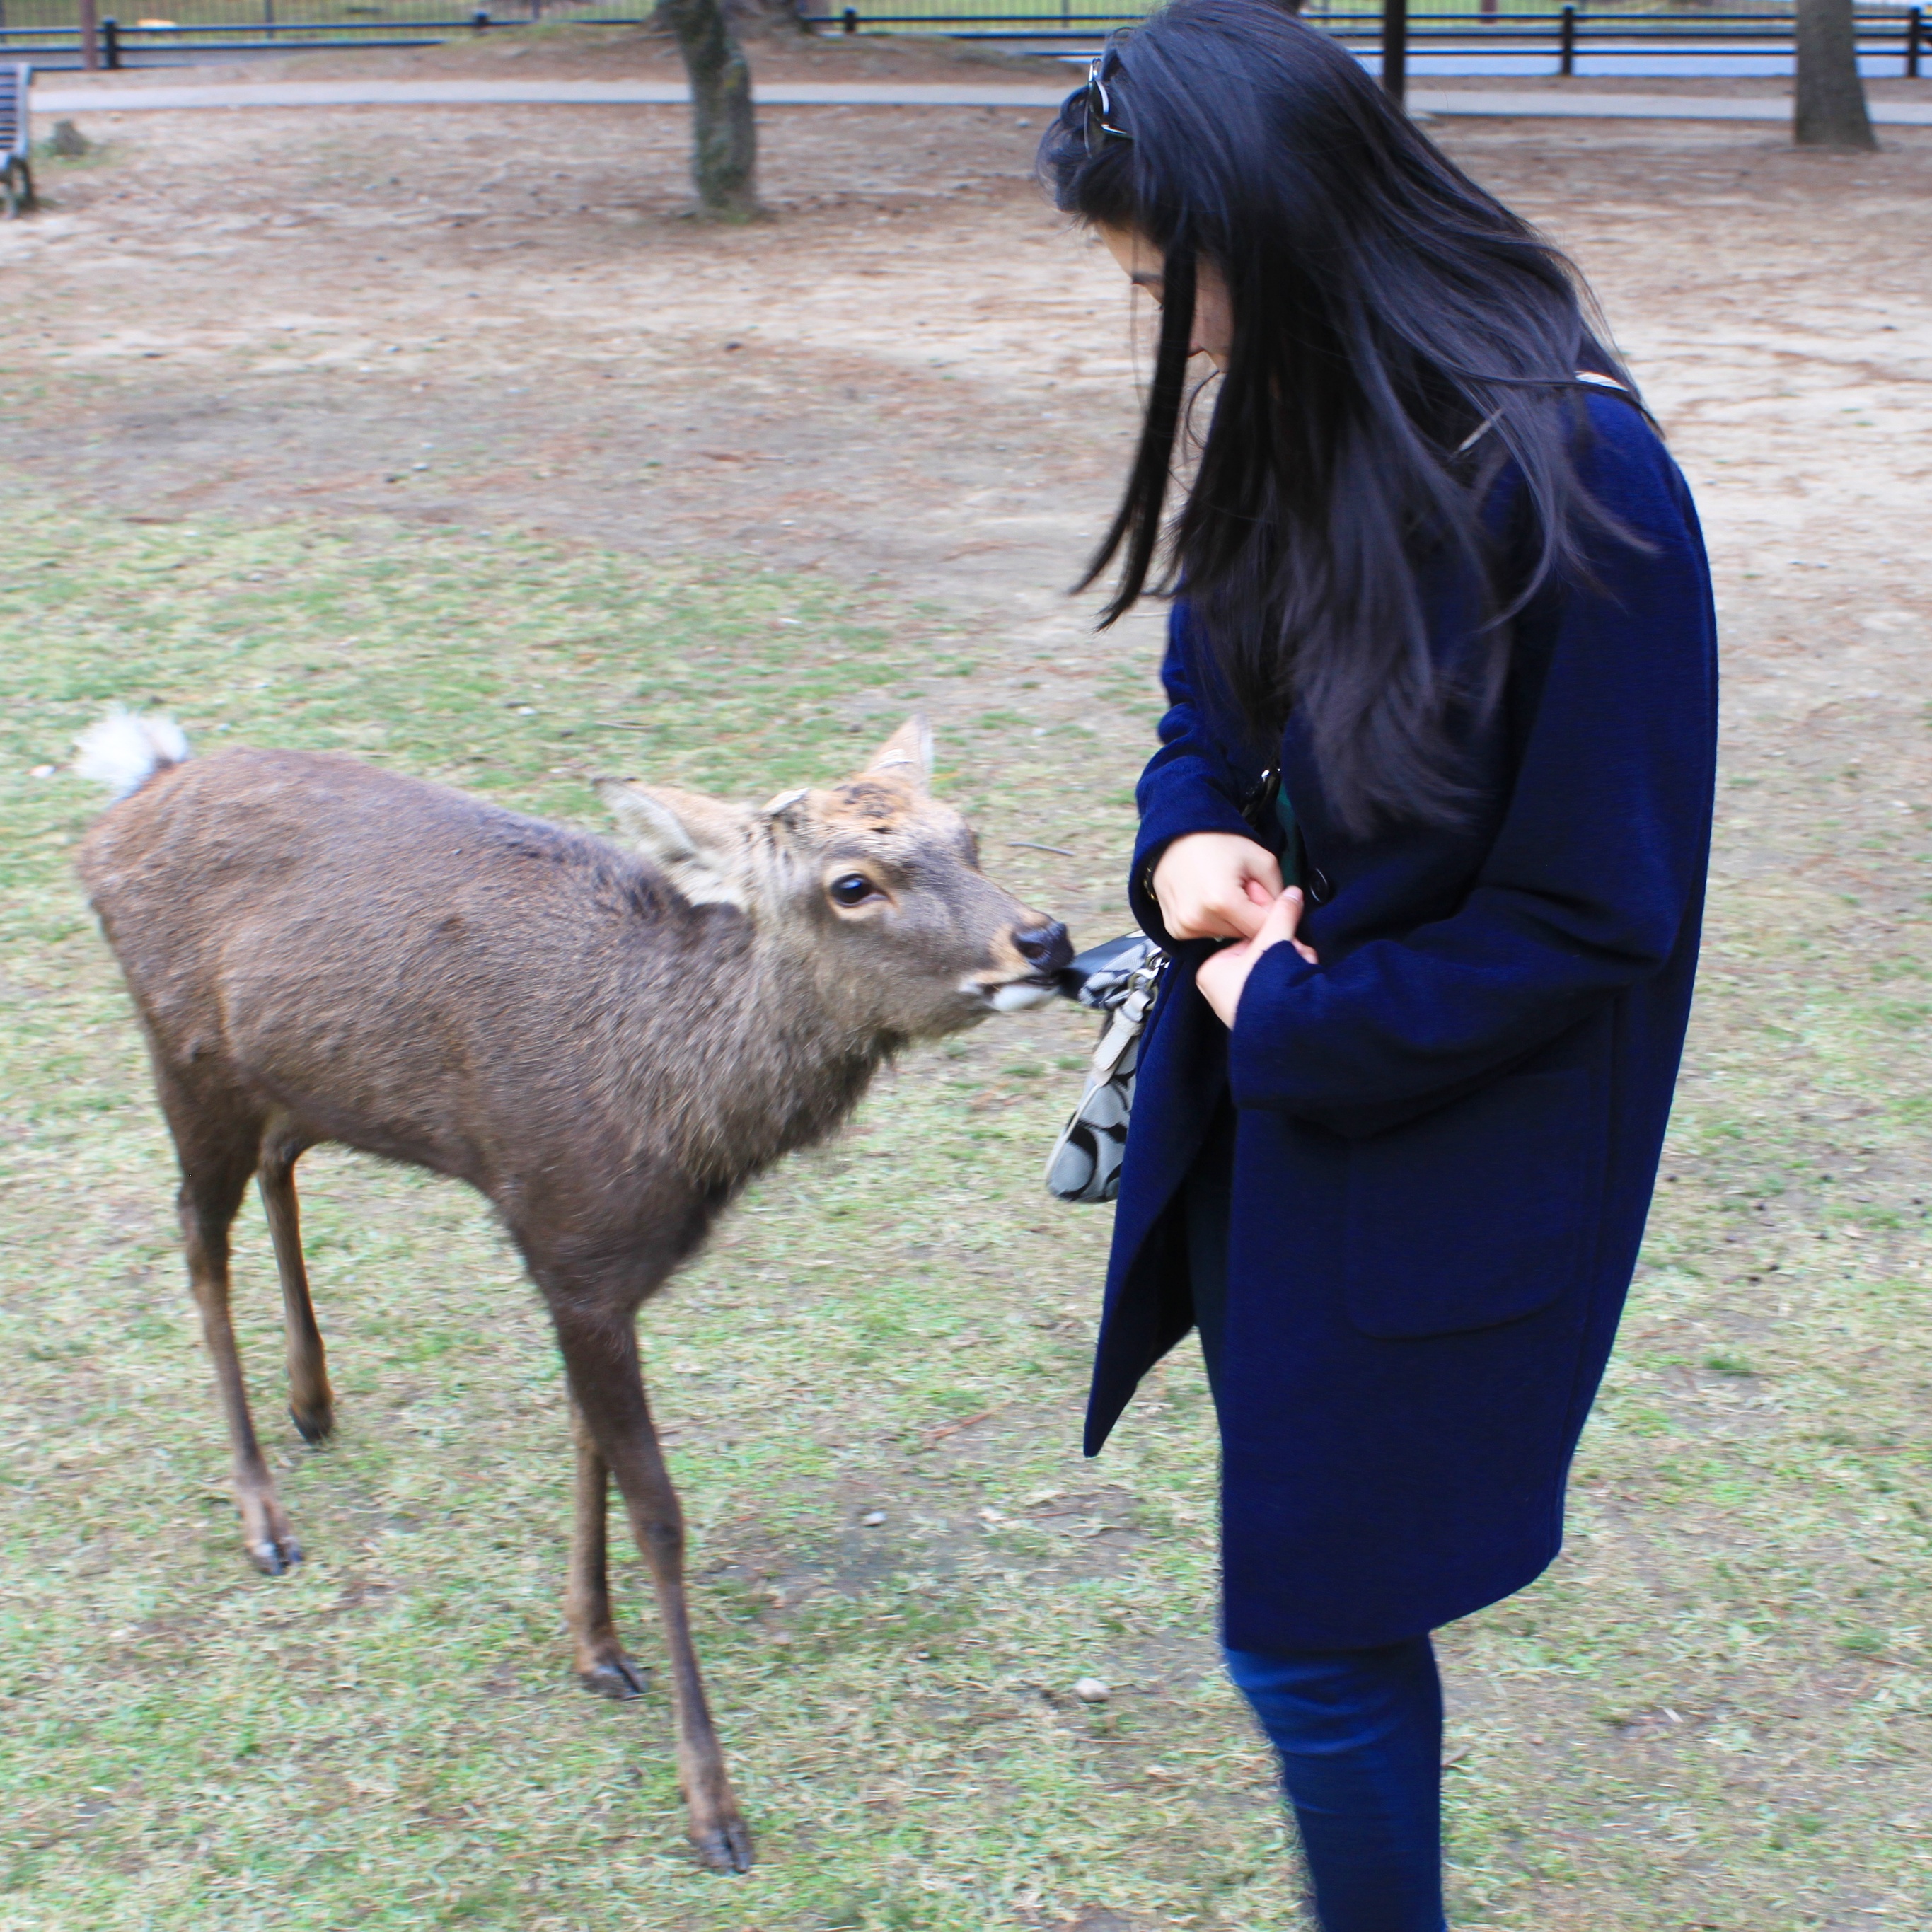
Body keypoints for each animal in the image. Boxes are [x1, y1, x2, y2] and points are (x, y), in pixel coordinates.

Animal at [71, 711, 1074, 1870]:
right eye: (852, 882)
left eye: (969, 834)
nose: (1044, 939)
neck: (671, 1115)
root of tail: (130, 792)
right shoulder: (571, 1246)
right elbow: (659, 1511)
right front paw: (712, 1808)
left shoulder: (595, 1271)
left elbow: (587, 1444)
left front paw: (594, 1646)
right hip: (183, 1053)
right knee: (196, 1235)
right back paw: (263, 1517)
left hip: (294, 1075)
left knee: (282, 1159)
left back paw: (313, 1402)